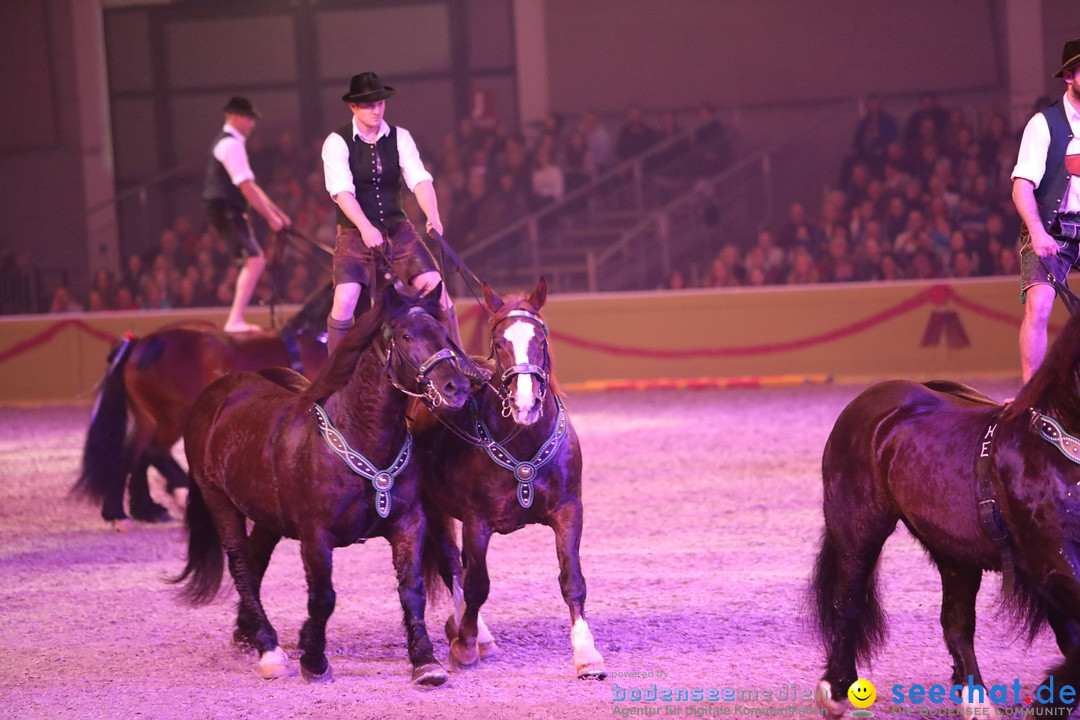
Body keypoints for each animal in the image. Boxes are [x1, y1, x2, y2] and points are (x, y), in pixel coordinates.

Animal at [73, 284, 330, 526]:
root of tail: (140, 344)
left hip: (149, 416)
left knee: (132, 454)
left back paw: (134, 510)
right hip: (173, 416)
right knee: (152, 452)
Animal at [171, 282, 468, 686]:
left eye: (443, 334)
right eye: (407, 336)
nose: (457, 387)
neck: (359, 437)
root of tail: (217, 391)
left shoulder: (408, 523)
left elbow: (412, 589)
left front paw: (425, 661)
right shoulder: (315, 535)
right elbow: (323, 597)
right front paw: (314, 661)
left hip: (266, 516)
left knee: (255, 560)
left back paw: (248, 635)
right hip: (220, 502)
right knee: (241, 567)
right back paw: (270, 651)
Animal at [412, 278, 609, 677]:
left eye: (541, 339)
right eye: (499, 342)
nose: (525, 403)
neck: (523, 439)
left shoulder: (570, 510)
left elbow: (573, 580)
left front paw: (586, 653)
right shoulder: (476, 522)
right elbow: (476, 584)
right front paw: (465, 646)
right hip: (432, 508)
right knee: (451, 565)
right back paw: (475, 634)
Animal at [812, 302, 1080, 716]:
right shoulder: (1053, 564)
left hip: (955, 551)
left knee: (955, 623)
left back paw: (976, 701)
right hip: (857, 528)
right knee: (848, 603)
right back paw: (837, 690)